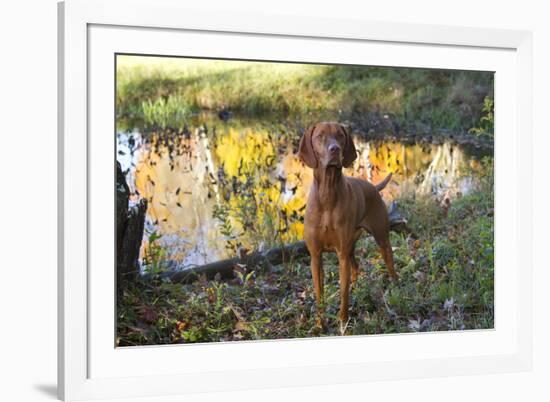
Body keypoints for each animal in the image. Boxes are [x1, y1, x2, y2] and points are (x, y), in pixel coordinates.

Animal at [298, 122, 396, 330]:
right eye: (320, 136)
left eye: (340, 135)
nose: (334, 149)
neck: (327, 194)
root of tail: (373, 187)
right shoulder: (316, 257)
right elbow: (319, 294)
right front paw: (320, 324)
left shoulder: (341, 255)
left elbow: (343, 294)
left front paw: (343, 324)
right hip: (351, 244)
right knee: (356, 267)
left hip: (381, 237)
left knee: (389, 262)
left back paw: (395, 285)